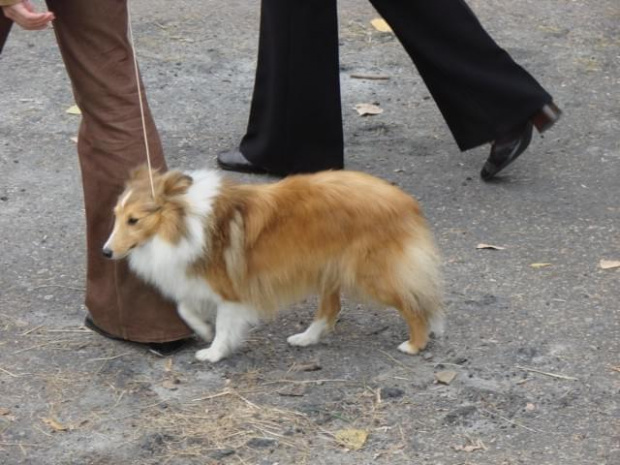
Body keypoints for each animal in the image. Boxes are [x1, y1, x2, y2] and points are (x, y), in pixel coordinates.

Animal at [101, 167, 444, 362]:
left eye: (134, 220)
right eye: (116, 216)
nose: (105, 252)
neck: (183, 220)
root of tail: (405, 201)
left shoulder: (230, 290)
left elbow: (224, 324)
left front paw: (214, 352)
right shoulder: (197, 279)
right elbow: (184, 307)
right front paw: (201, 329)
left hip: (371, 274)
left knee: (414, 304)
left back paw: (415, 344)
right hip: (328, 267)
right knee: (331, 309)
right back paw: (306, 338)